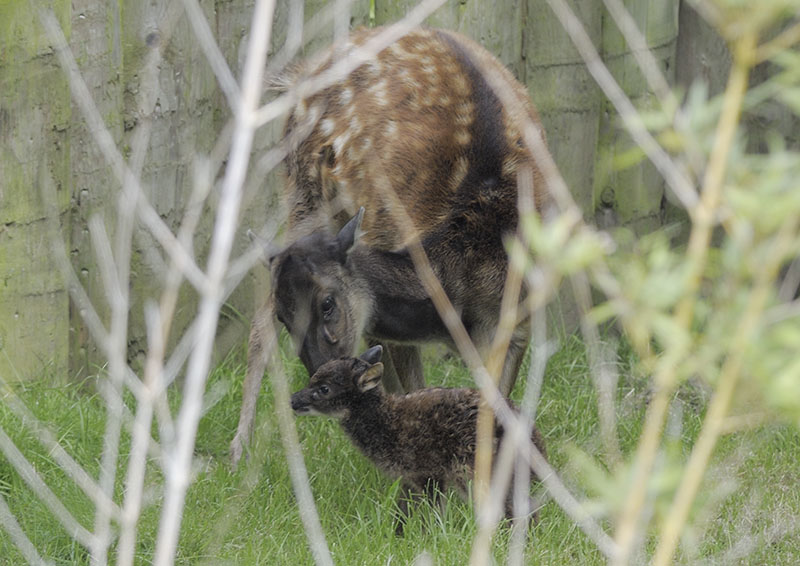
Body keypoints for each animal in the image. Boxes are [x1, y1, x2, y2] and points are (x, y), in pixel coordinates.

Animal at [231, 26, 552, 466]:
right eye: (287, 317)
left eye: (328, 304)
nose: (319, 379)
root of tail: (306, 69)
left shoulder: (519, 319)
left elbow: (495, 409)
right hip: (303, 194)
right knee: (259, 322)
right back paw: (238, 450)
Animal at [290, 345, 547, 533]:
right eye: (311, 379)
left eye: (324, 388)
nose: (293, 400)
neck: (386, 423)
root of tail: (538, 446)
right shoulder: (409, 477)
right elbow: (402, 510)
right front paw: (397, 534)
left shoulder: (430, 474)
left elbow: (434, 511)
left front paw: (431, 536)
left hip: (477, 471)